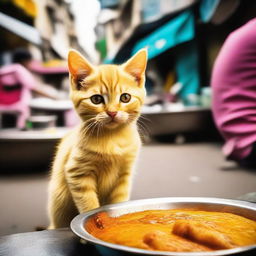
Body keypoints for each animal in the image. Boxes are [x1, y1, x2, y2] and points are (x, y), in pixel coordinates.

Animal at [47, 49, 147, 228]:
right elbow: (89, 204)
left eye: (125, 97)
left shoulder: (124, 176)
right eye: (96, 99)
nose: (112, 112)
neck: (113, 138)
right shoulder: (77, 173)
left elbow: (119, 201)